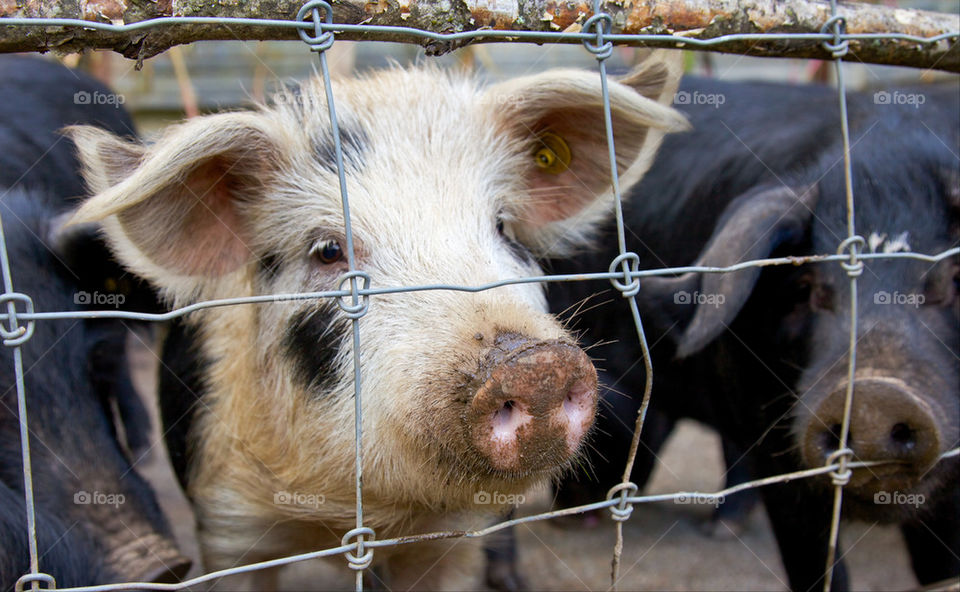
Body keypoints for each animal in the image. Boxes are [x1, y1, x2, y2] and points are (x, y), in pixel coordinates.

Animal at [67, 52, 692, 588]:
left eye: (503, 227)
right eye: (327, 251)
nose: (534, 366)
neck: (351, 512)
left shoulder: (451, 540)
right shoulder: (226, 523)